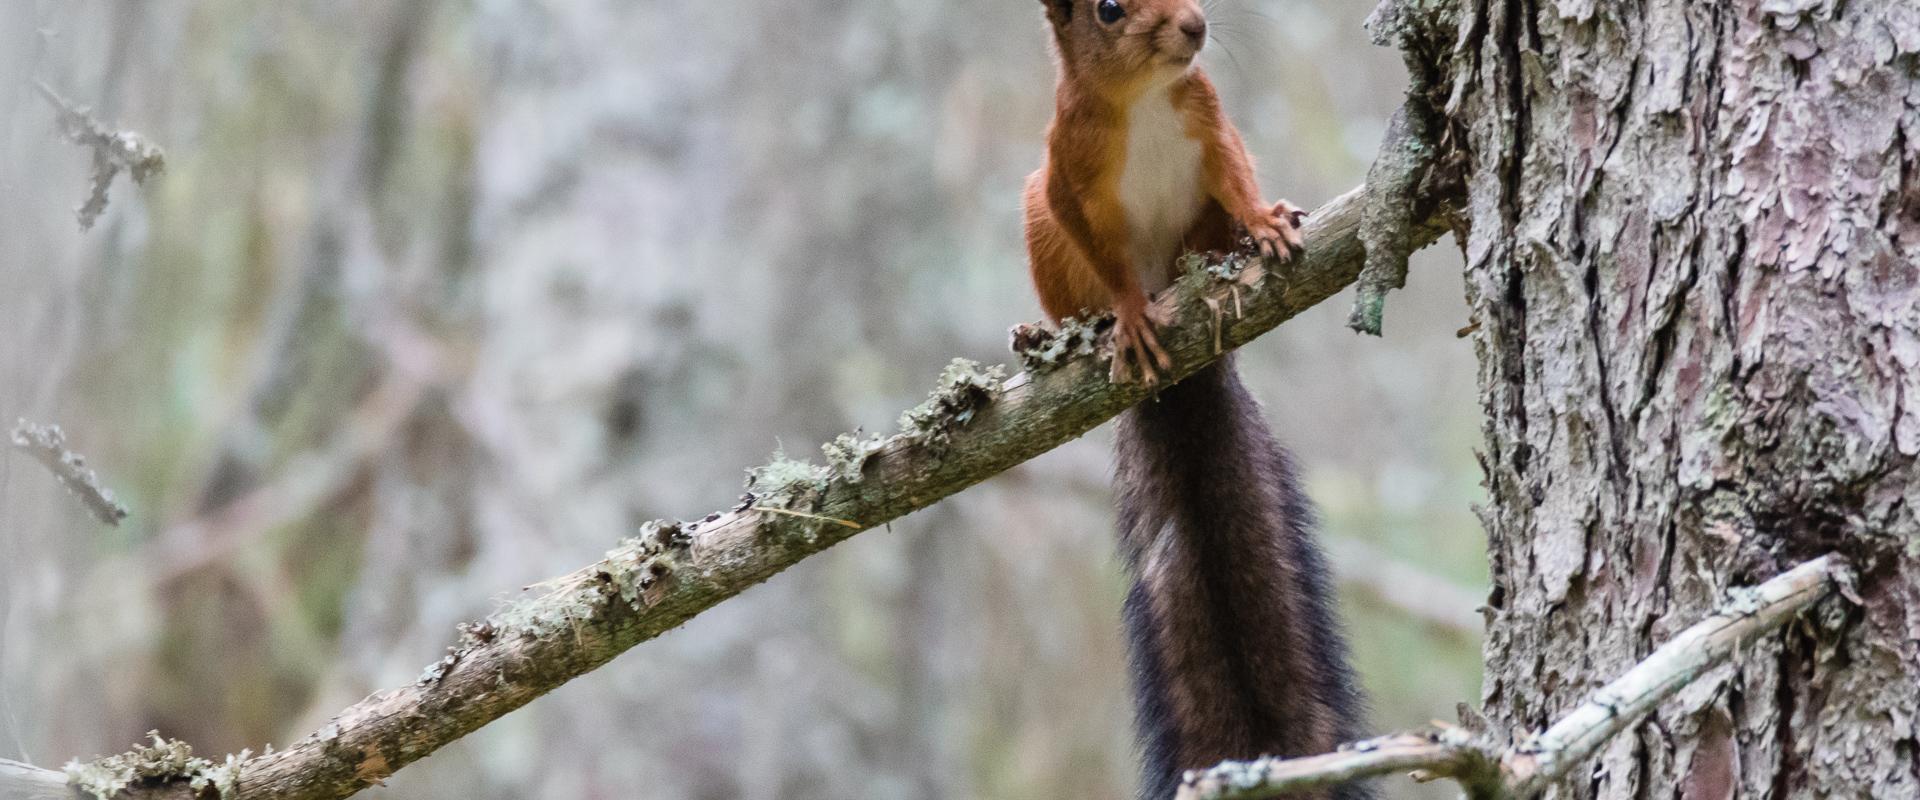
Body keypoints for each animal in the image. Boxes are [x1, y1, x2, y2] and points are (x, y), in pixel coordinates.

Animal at [1021, 1, 1367, 798]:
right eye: (1107, 9)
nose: (1195, 24)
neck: (1143, 98)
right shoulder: (1062, 172)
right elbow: (1099, 250)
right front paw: (1127, 314)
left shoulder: (1211, 124)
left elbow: (1232, 173)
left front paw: (1263, 222)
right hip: (1038, 229)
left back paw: (1218, 256)